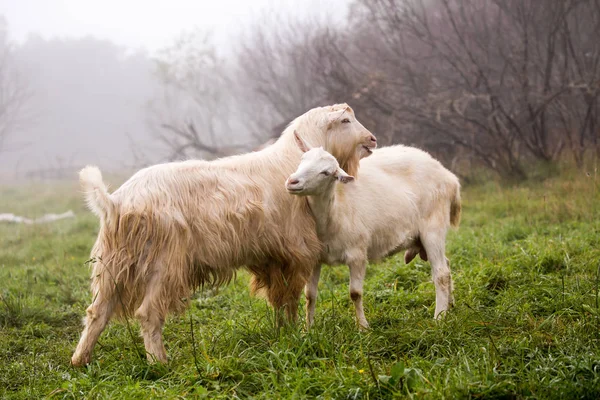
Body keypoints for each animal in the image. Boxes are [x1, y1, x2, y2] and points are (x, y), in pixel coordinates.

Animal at [70, 104, 376, 366]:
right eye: (345, 120)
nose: (372, 140)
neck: (288, 162)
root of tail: (115, 201)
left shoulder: (273, 257)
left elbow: (278, 298)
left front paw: (283, 334)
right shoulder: (295, 251)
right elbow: (290, 297)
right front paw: (294, 334)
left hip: (113, 265)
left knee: (97, 312)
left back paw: (80, 361)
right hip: (164, 263)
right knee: (147, 312)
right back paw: (160, 364)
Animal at [284, 133, 460, 330]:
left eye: (326, 173)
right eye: (302, 159)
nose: (292, 182)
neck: (334, 211)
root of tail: (449, 177)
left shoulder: (357, 254)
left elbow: (355, 293)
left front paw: (362, 327)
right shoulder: (315, 258)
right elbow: (310, 295)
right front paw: (308, 329)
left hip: (433, 227)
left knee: (441, 273)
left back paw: (439, 318)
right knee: (447, 265)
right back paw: (450, 305)